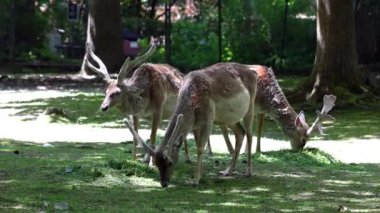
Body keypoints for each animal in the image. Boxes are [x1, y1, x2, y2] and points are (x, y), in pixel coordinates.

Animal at [123, 62, 260, 186]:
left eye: (170, 162)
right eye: (156, 164)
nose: (164, 183)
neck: (193, 101)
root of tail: (253, 73)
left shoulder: (208, 119)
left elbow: (200, 148)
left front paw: (195, 180)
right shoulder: (196, 124)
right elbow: (197, 143)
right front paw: (201, 174)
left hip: (251, 106)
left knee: (249, 134)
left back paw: (248, 172)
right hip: (228, 119)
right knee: (240, 133)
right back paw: (228, 171)